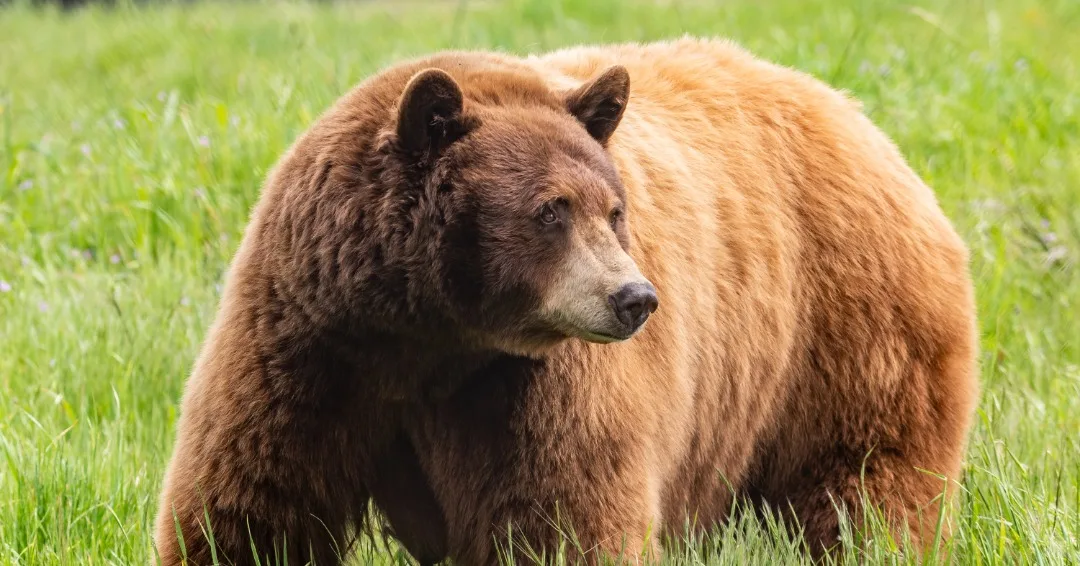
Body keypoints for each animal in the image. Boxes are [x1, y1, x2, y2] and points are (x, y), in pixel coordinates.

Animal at [154, 38, 979, 566]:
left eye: (613, 210)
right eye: (551, 209)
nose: (636, 298)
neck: (431, 338)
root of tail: (858, 118)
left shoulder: (536, 385)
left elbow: (557, 515)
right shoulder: (312, 341)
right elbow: (253, 505)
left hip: (847, 330)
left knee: (865, 482)